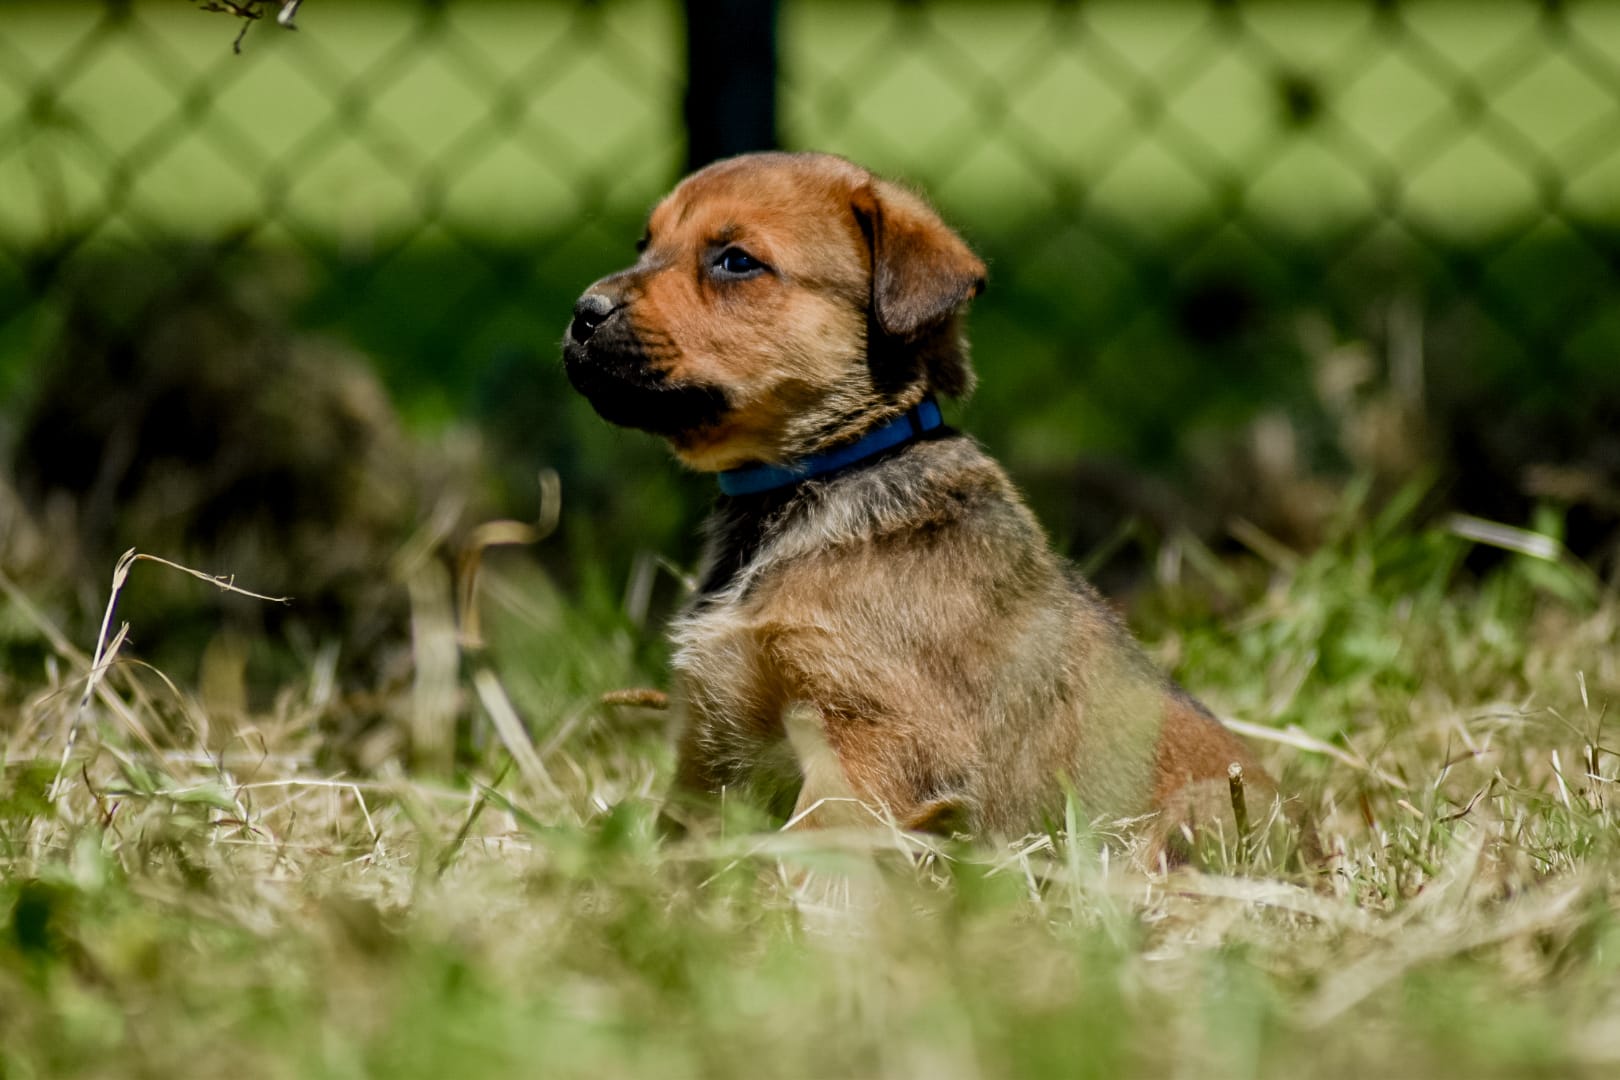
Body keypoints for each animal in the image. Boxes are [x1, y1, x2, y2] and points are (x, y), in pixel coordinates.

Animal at [563, 149, 1296, 861]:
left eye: (736, 261)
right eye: (645, 244)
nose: (582, 312)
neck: (826, 472)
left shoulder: (874, 735)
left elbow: (810, 839)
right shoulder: (710, 746)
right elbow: (680, 837)